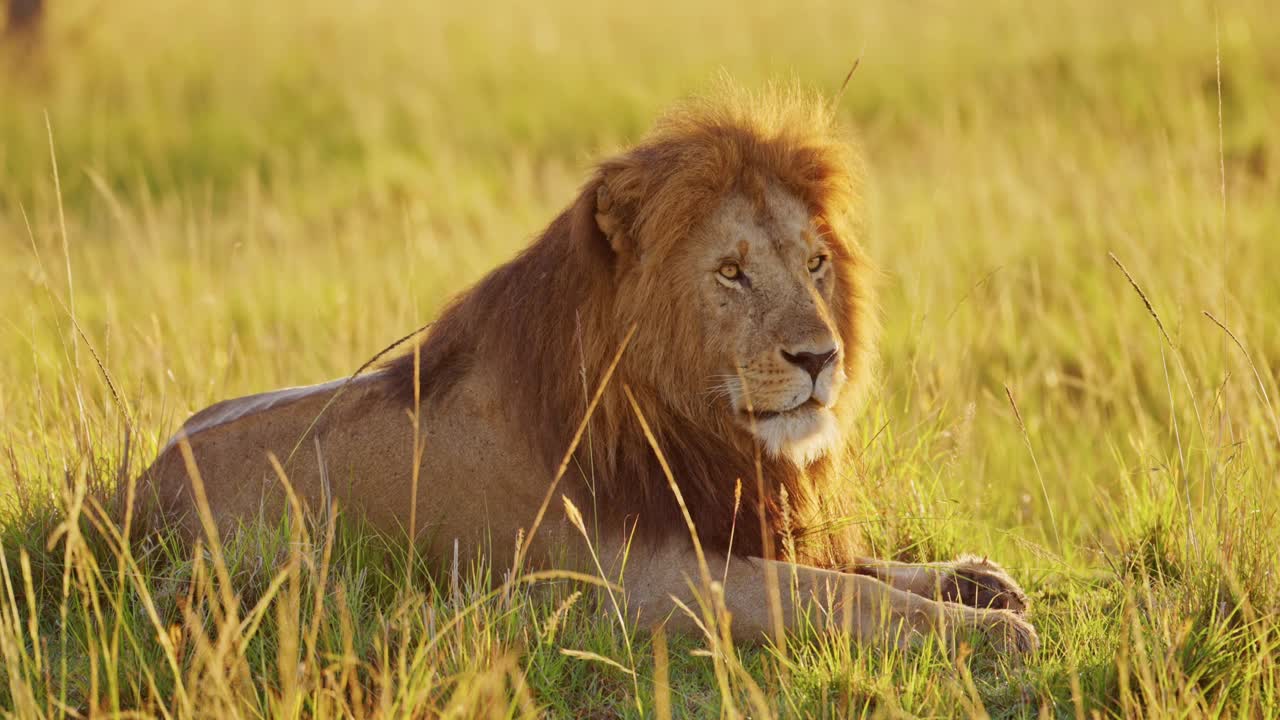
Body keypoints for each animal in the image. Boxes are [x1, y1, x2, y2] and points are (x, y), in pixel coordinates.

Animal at [135, 85, 1039, 655]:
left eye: (816, 263)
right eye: (731, 273)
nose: (822, 358)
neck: (694, 424)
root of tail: (130, 491)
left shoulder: (727, 517)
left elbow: (853, 563)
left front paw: (973, 579)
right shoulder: (648, 582)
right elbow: (837, 592)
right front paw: (987, 633)